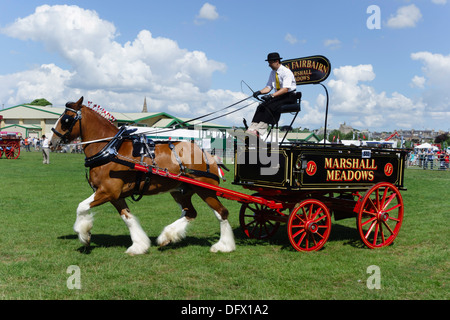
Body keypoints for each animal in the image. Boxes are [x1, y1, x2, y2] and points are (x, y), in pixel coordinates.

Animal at [51, 96, 236, 254]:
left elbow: (81, 207)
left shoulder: (107, 191)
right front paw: (139, 245)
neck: (110, 150)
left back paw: (223, 245)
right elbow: (127, 217)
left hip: (205, 190)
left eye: (66, 119)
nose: (52, 142)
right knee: (191, 213)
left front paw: (84, 234)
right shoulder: (115, 195)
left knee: (222, 212)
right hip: (181, 191)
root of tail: (209, 155)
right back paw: (167, 236)